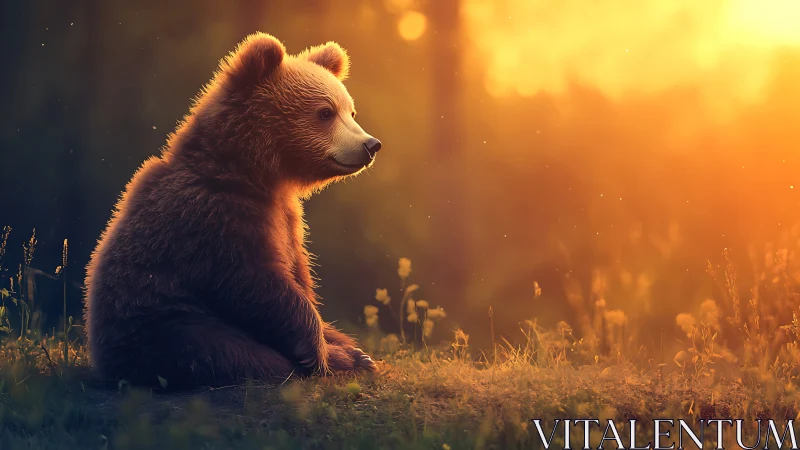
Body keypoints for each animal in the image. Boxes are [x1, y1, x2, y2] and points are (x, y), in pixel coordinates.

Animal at [84, 32, 382, 390]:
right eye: (325, 112)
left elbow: (299, 275)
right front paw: (319, 354)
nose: (371, 145)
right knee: (228, 352)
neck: (252, 174)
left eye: (351, 111)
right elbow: (258, 285)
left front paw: (348, 350)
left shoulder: (287, 221)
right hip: (162, 324)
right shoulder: (215, 219)